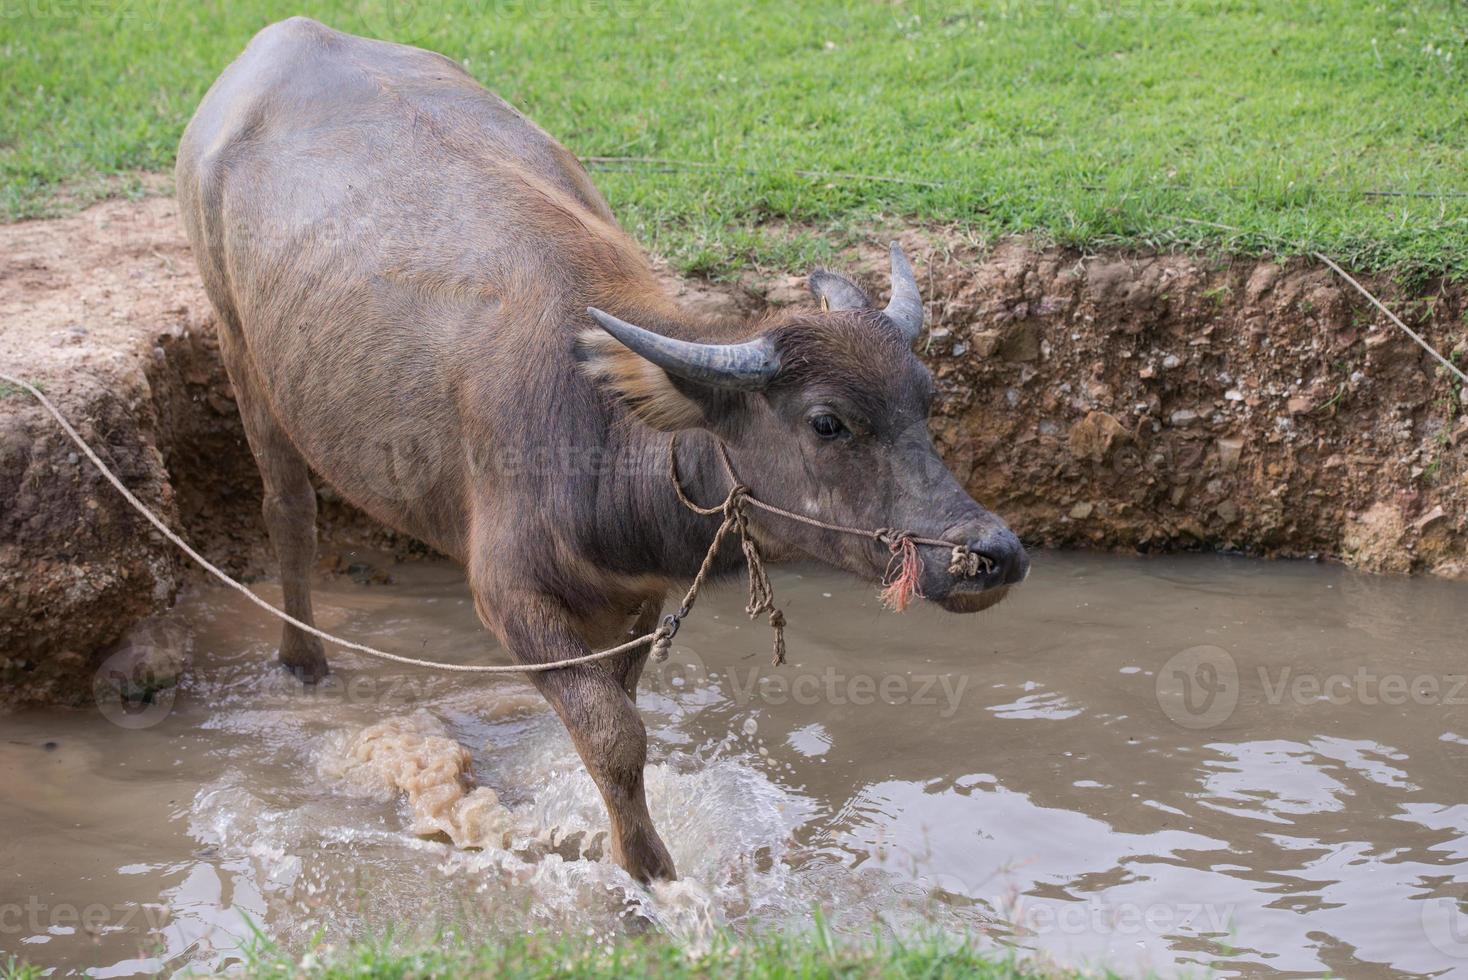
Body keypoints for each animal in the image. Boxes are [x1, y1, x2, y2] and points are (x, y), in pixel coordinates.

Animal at [177, 19, 1027, 886]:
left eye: (928, 398)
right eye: (827, 423)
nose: (992, 554)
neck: (603, 432)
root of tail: (285, 34)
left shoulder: (636, 596)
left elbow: (612, 716)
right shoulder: (508, 596)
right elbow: (616, 735)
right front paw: (648, 874)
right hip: (240, 348)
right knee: (289, 513)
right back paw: (302, 663)